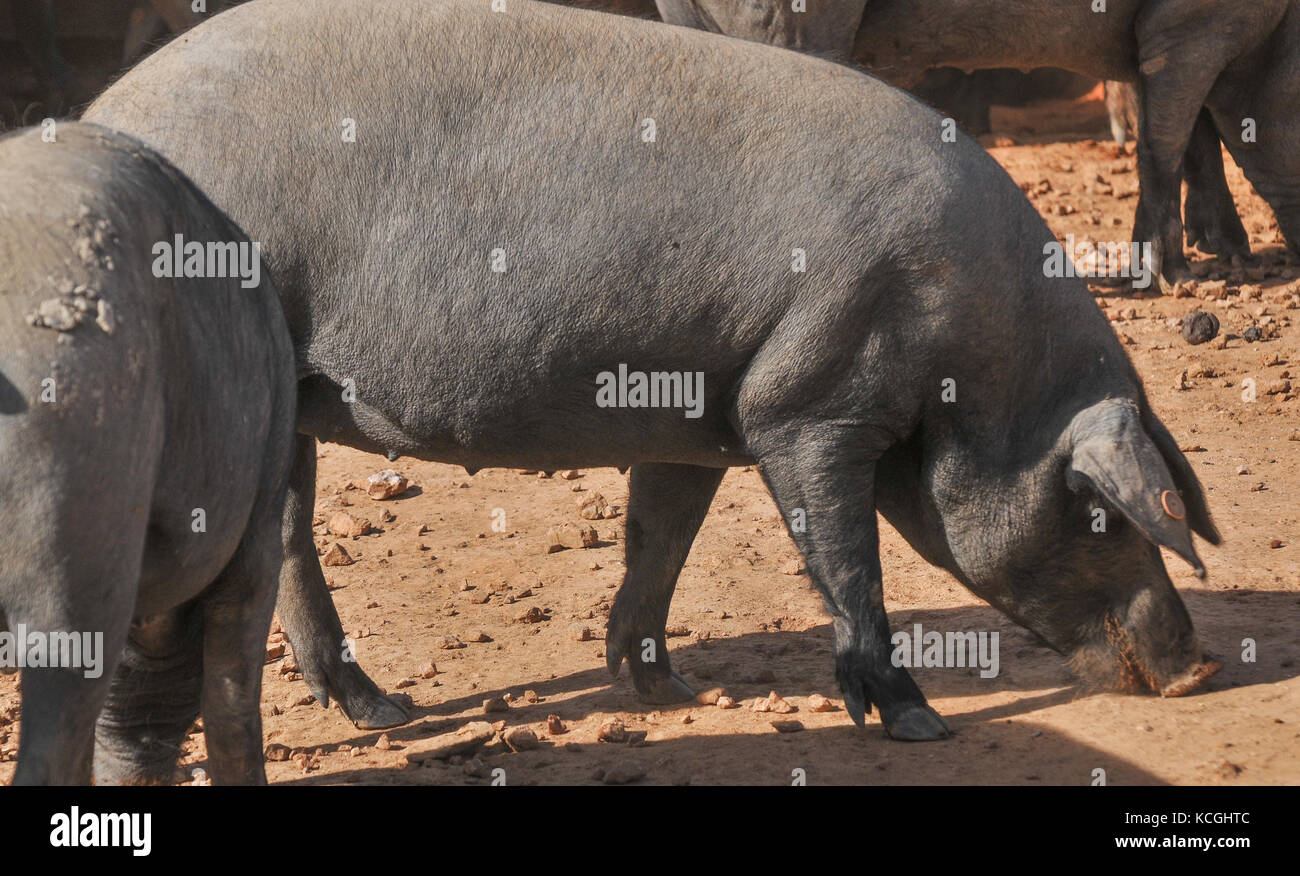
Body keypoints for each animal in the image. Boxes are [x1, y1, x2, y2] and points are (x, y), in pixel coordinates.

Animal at [86, 0, 1222, 738]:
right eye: (1099, 511)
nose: (1199, 667)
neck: (974, 367)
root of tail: (105, 108)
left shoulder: (699, 412)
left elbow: (659, 540)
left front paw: (662, 691)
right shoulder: (806, 398)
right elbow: (846, 554)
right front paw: (916, 722)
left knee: (284, 532)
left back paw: (381, 713)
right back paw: (383, 715)